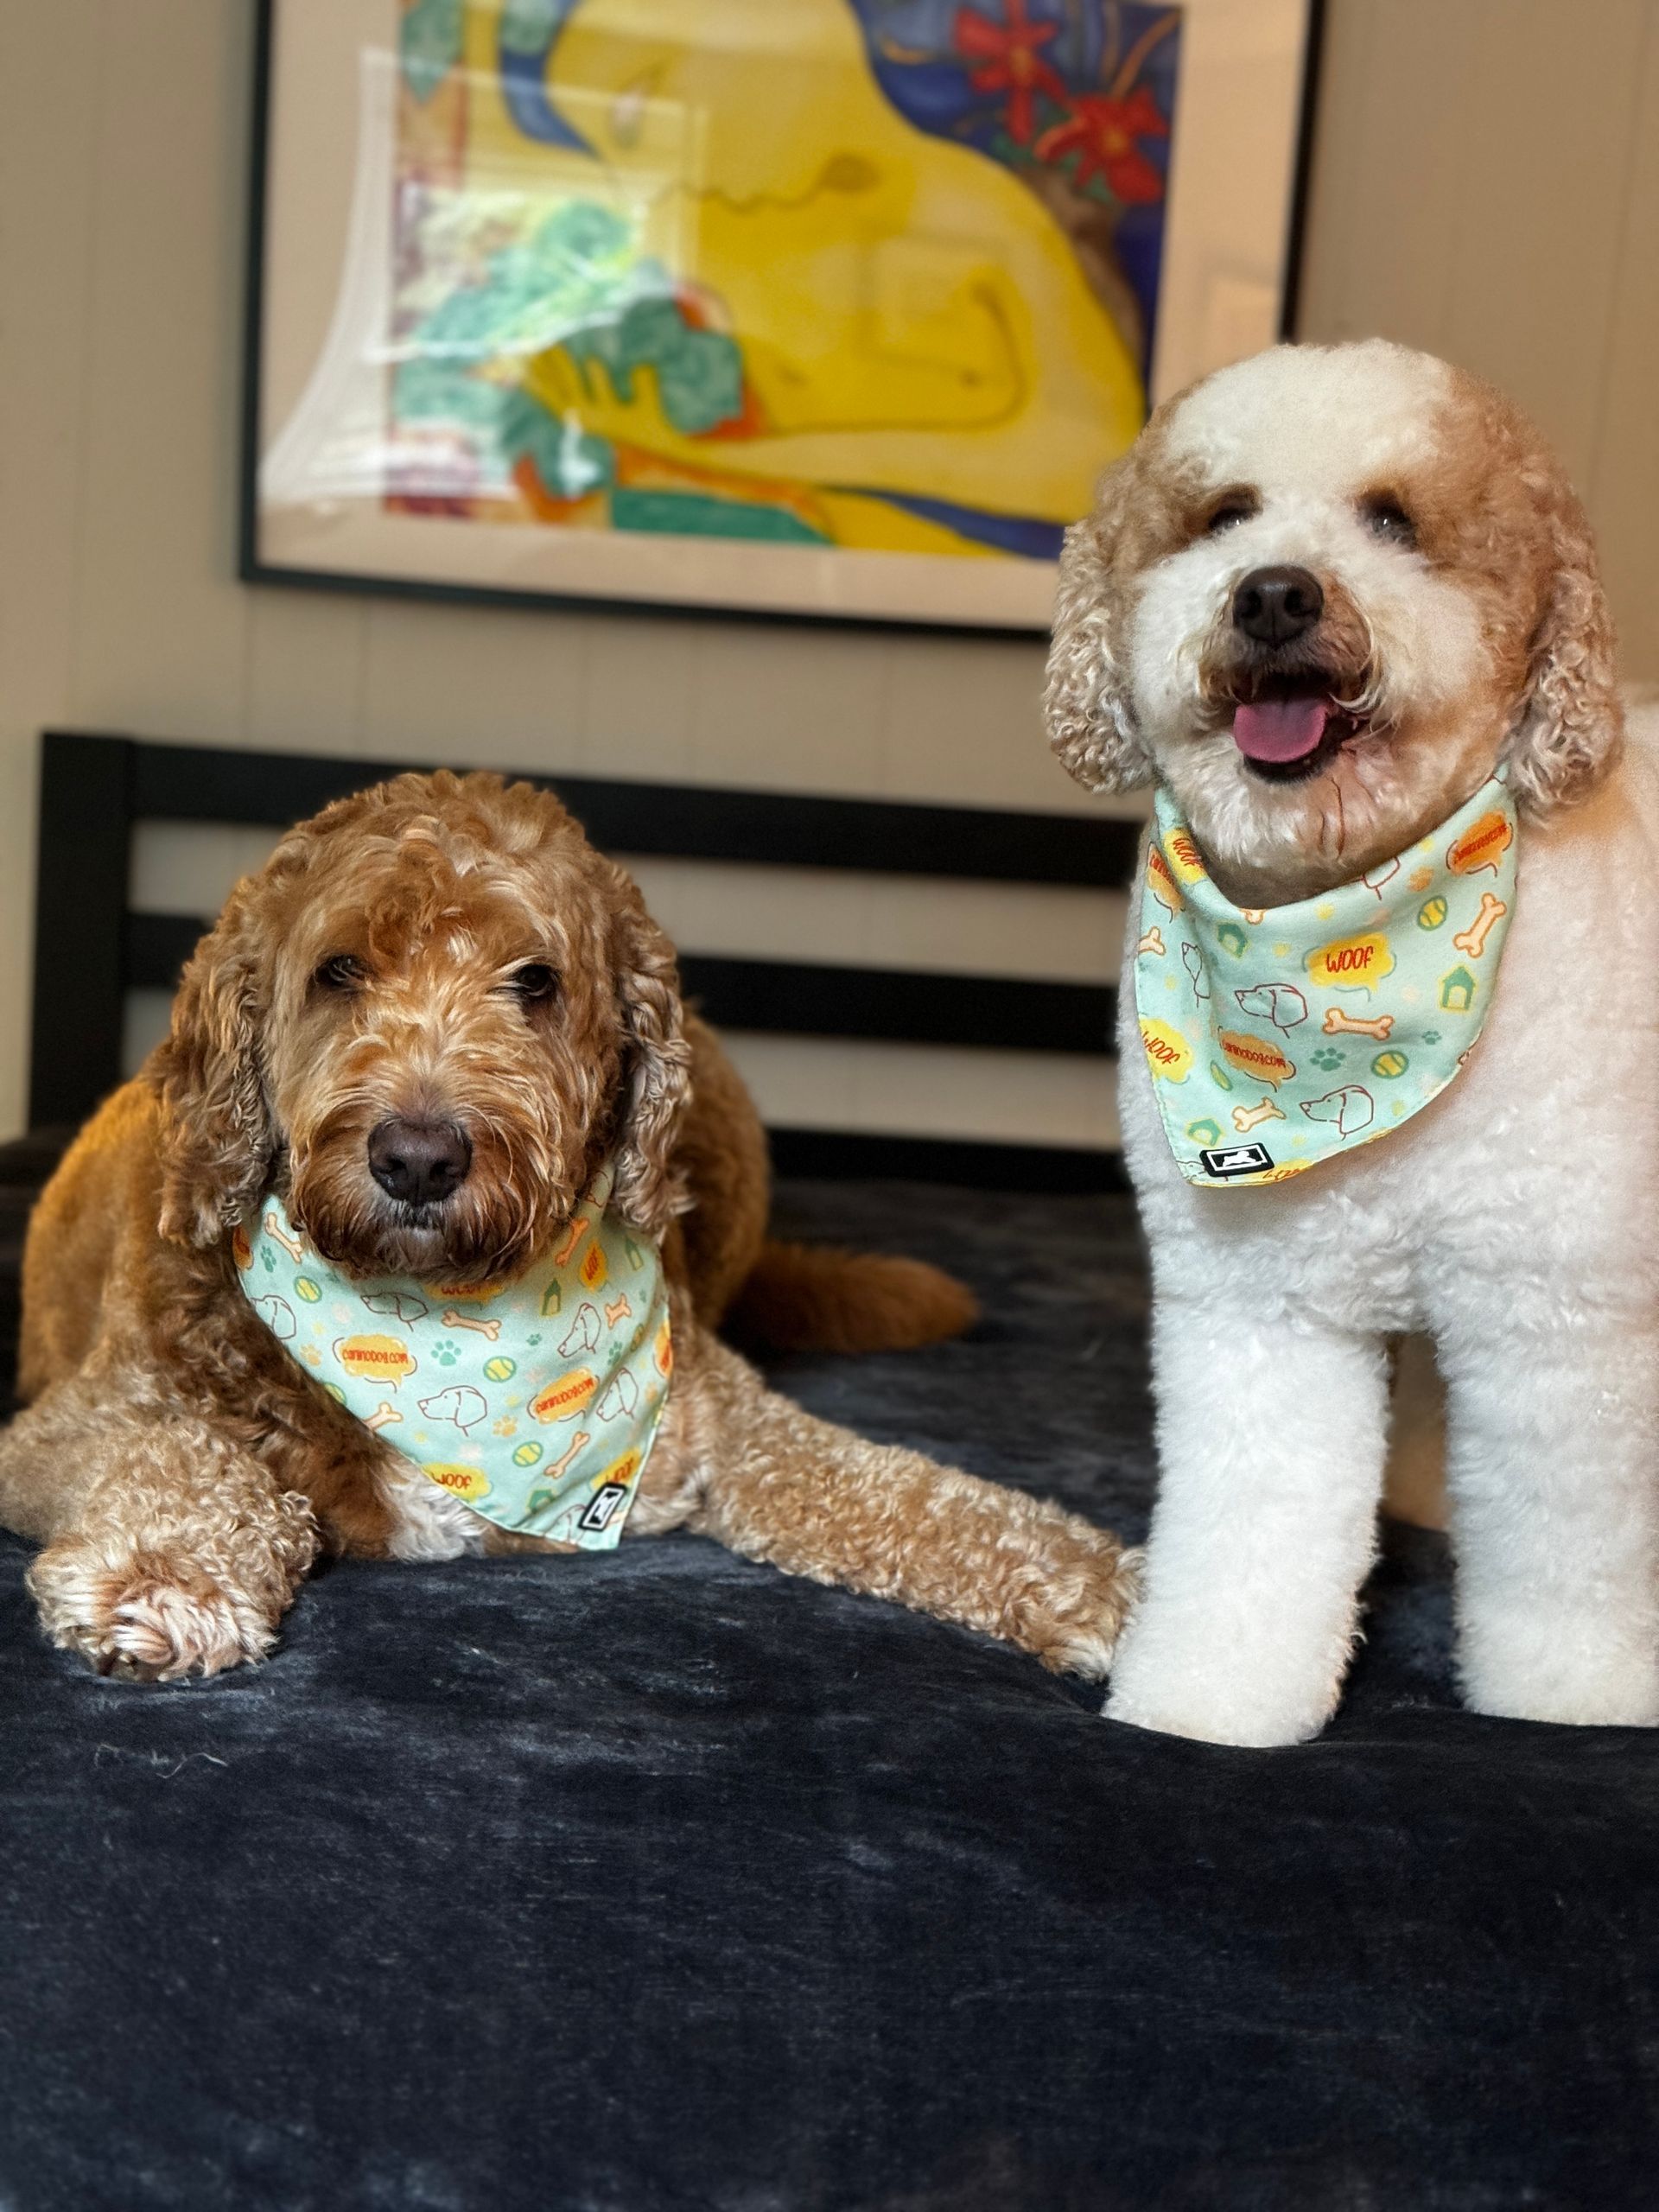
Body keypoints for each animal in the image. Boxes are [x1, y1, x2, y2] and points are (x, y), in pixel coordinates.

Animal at [0, 774, 1141, 1672]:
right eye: (340, 971)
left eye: (535, 982)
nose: (419, 1156)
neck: (438, 1323)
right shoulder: (61, 1428)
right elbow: (178, 1449)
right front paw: (167, 1572)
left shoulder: (730, 1430)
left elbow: (904, 1490)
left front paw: (1101, 1585)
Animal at [1044, 336, 1654, 1743]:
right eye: (1225, 516)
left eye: (1395, 521)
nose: (1275, 595)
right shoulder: (1267, 1304)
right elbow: (1257, 1521)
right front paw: (1209, 1696)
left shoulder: (1555, 1315)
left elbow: (1570, 1541)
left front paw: (1581, 1697)